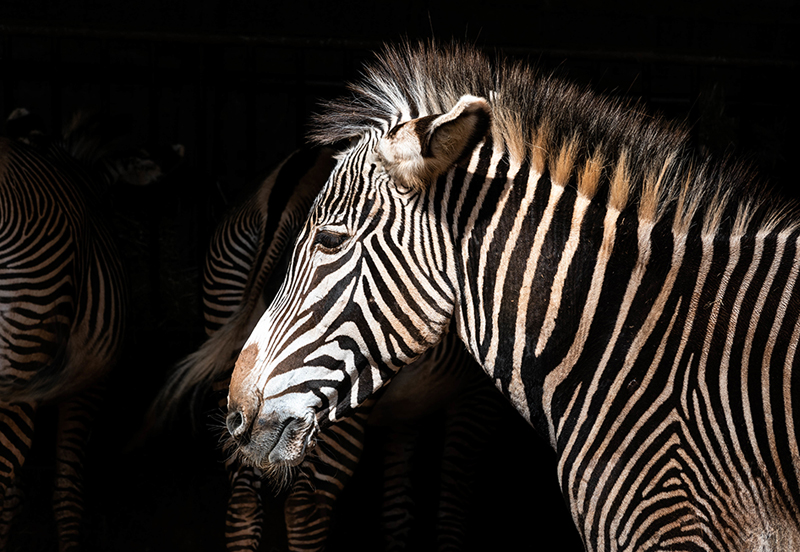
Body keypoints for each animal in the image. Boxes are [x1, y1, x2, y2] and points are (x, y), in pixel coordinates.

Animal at [152, 144, 506, 548]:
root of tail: (292, 182)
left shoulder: (407, 416)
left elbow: (398, 509)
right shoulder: (479, 396)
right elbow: (449, 511)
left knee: (242, 500)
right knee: (305, 508)